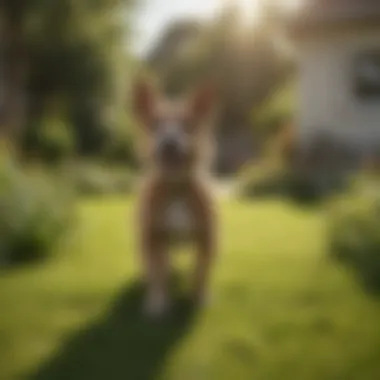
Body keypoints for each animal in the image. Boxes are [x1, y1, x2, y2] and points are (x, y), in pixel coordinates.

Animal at [132, 80, 218, 318]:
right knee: (152, 265)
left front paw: (200, 297)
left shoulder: (207, 239)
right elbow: (158, 274)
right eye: (155, 124)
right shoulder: (154, 237)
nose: (169, 141)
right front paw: (157, 303)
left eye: (188, 124)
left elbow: (201, 271)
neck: (176, 188)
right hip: (144, 238)